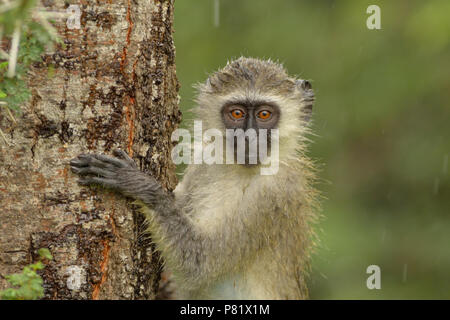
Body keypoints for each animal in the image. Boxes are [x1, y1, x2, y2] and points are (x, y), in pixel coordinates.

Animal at [70, 57, 318, 300]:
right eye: (237, 113)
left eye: (264, 114)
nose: (248, 139)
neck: (241, 171)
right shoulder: (202, 163)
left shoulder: (275, 191)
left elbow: (200, 263)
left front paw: (139, 184)